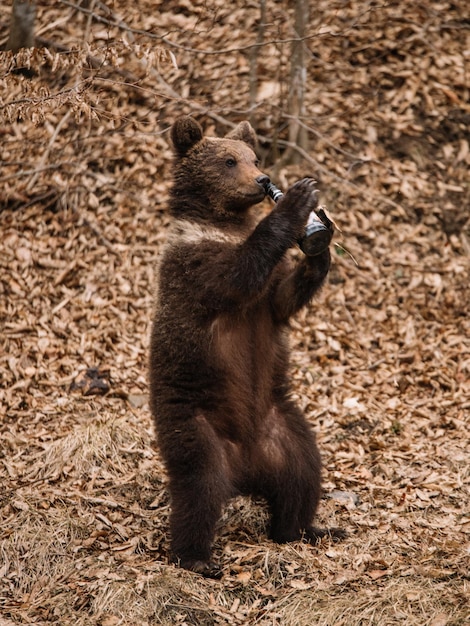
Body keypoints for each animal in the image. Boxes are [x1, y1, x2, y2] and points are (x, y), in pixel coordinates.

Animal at [151, 117, 346, 576]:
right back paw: (195, 557)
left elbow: (284, 297)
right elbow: (239, 274)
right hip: (195, 423)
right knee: (200, 488)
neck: (223, 223)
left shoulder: (270, 293)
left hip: (282, 425)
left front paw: (320, 239)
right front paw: (297, 202)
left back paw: (305, 528)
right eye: (228, 160)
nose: (261, 179)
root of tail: (247, 467)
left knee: (303, 473)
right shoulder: (196, 265)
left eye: (253, 157)